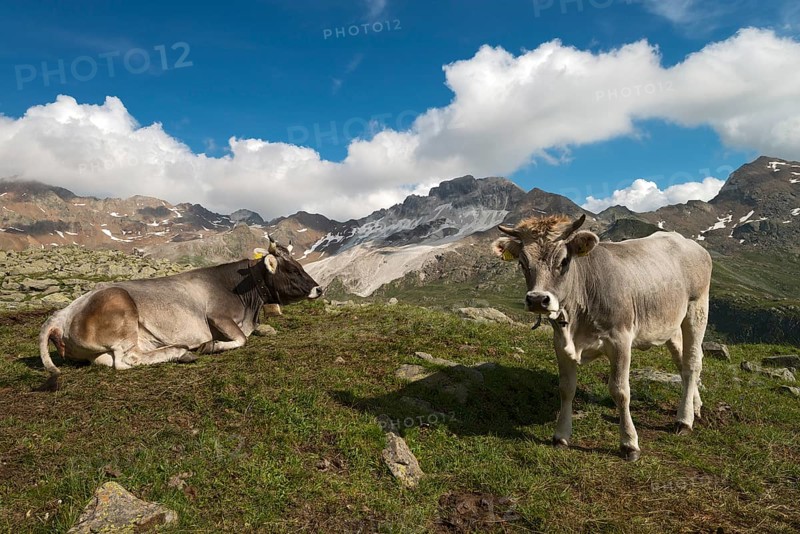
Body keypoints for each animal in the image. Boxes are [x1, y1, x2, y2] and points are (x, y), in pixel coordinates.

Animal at [39, 236, 322, 374]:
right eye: (292, 269)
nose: (319, 288)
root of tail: (62, 313)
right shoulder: (217, 316)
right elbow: (241, 339)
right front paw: (211, 346)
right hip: (121, 307)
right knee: (126, 359)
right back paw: (182, 352)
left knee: (108, 361)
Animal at [492, 214, 712, 461]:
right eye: (522, 262)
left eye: (564, 261)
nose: (538, 299)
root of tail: (686, 241)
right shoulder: (560, 344)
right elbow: (566, 388)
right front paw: (561, 436)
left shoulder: (620, 340)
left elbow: (620, 391)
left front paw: (629, 443)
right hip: (669, 324)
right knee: (682, 362)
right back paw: (695, 407)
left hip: (697, 308)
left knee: (692, 363)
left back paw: (684, 420)